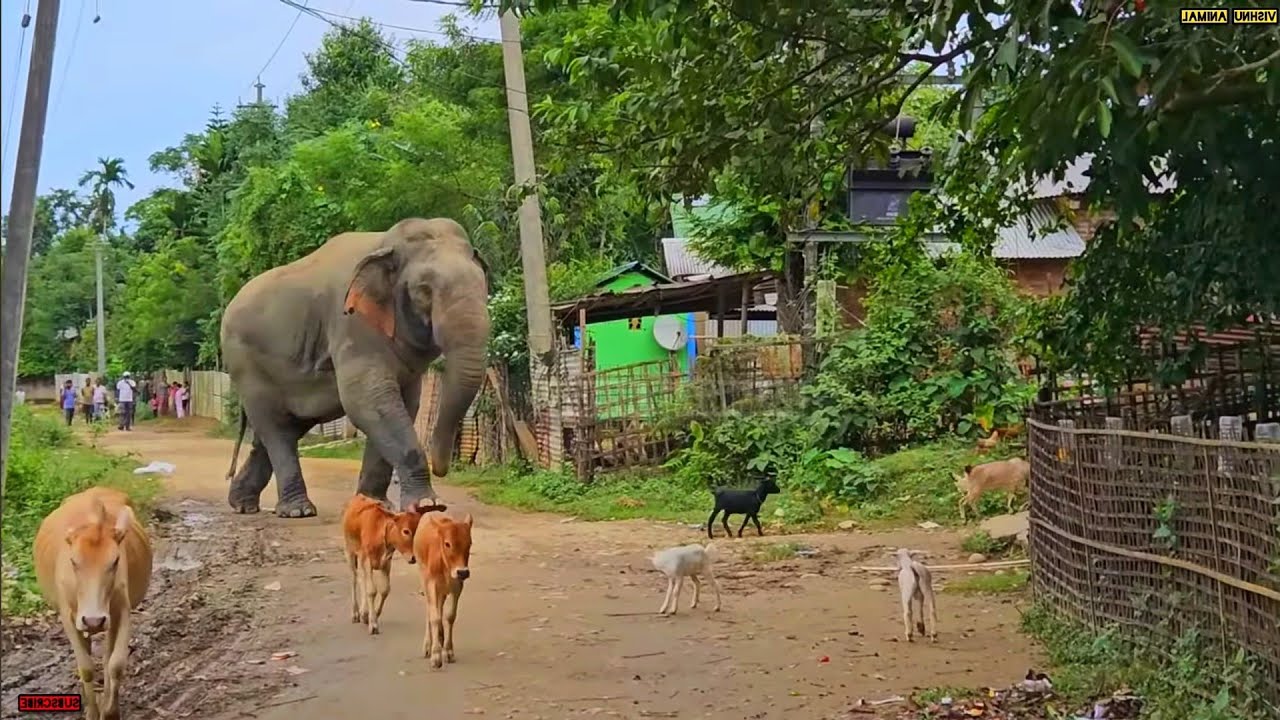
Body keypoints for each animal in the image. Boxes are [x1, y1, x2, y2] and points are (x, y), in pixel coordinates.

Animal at [220, 217, 491, 518]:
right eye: (424, 290)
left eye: (484, 286)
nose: (443, 468)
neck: (385, 243)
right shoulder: (351, 323)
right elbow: (367, 401)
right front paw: (427, 506)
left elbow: (403, 404)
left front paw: (375, 506)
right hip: (246, 364)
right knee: (276, 427)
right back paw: (298, 511)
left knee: (281, 428)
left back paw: (243, 504)